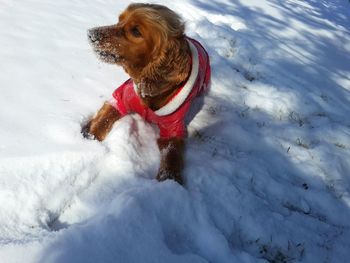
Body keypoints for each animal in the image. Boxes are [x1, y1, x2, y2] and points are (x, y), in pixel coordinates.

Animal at [83, 4, 211, 186]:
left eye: (136, 31)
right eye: (119, 20)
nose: (91, 34)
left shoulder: (174, 127)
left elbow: (171, 153)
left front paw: (169, 179)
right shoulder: (120, 98)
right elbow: (104, 119)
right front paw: (89, 136)